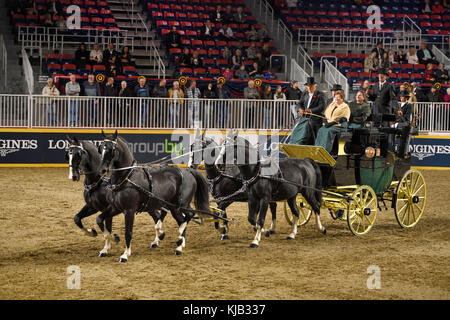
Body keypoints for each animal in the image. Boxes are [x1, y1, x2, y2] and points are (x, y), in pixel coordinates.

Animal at [99, 130, 210, 260]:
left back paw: (179, 239)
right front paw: (107, 246)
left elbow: (128, 232)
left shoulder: (129, 210)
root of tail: (188, 171)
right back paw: (179, 246)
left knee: (189, 215)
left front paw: (125, 254)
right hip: (173, 207)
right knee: (182, 219)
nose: (102, 170)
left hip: (182, 204)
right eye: (101, 148)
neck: (126, 177)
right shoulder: (114, 207)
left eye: (112, 149)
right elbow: (99, 219)